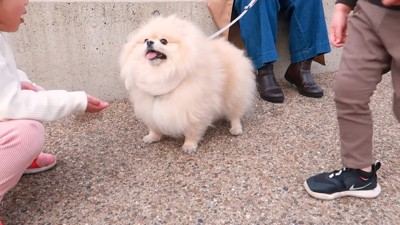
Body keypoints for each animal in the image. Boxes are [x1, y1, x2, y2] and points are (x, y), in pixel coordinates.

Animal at [119, 15, 256, 153]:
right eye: (145, 40)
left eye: (164, 41)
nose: (149, 42)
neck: (160, 73)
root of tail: (233, 48)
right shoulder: (150, 108)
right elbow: (154, 125)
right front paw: (153, 136)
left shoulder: (194, 108)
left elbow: (192, 130)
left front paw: (189, 145)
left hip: (234, 93)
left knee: (235, 113)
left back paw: (236, 128)